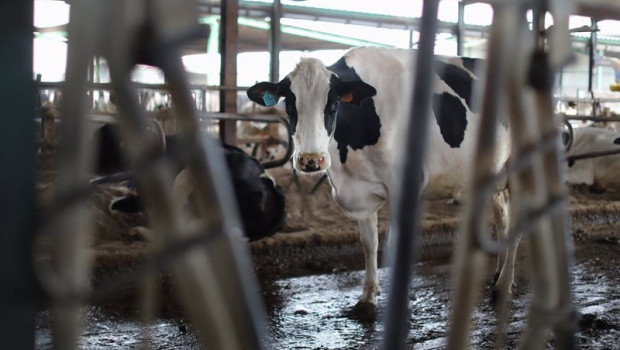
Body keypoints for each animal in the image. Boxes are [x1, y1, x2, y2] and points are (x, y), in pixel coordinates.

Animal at [248, 46, 512, 318]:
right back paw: (497, 275)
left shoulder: (405, 188)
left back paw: (502, 287)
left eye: (334, 104)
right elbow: (369, 244)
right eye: (289, 105)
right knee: (503, 220)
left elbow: (396, 246)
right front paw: (367, 299)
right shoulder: (360, 190)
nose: (311, 159)